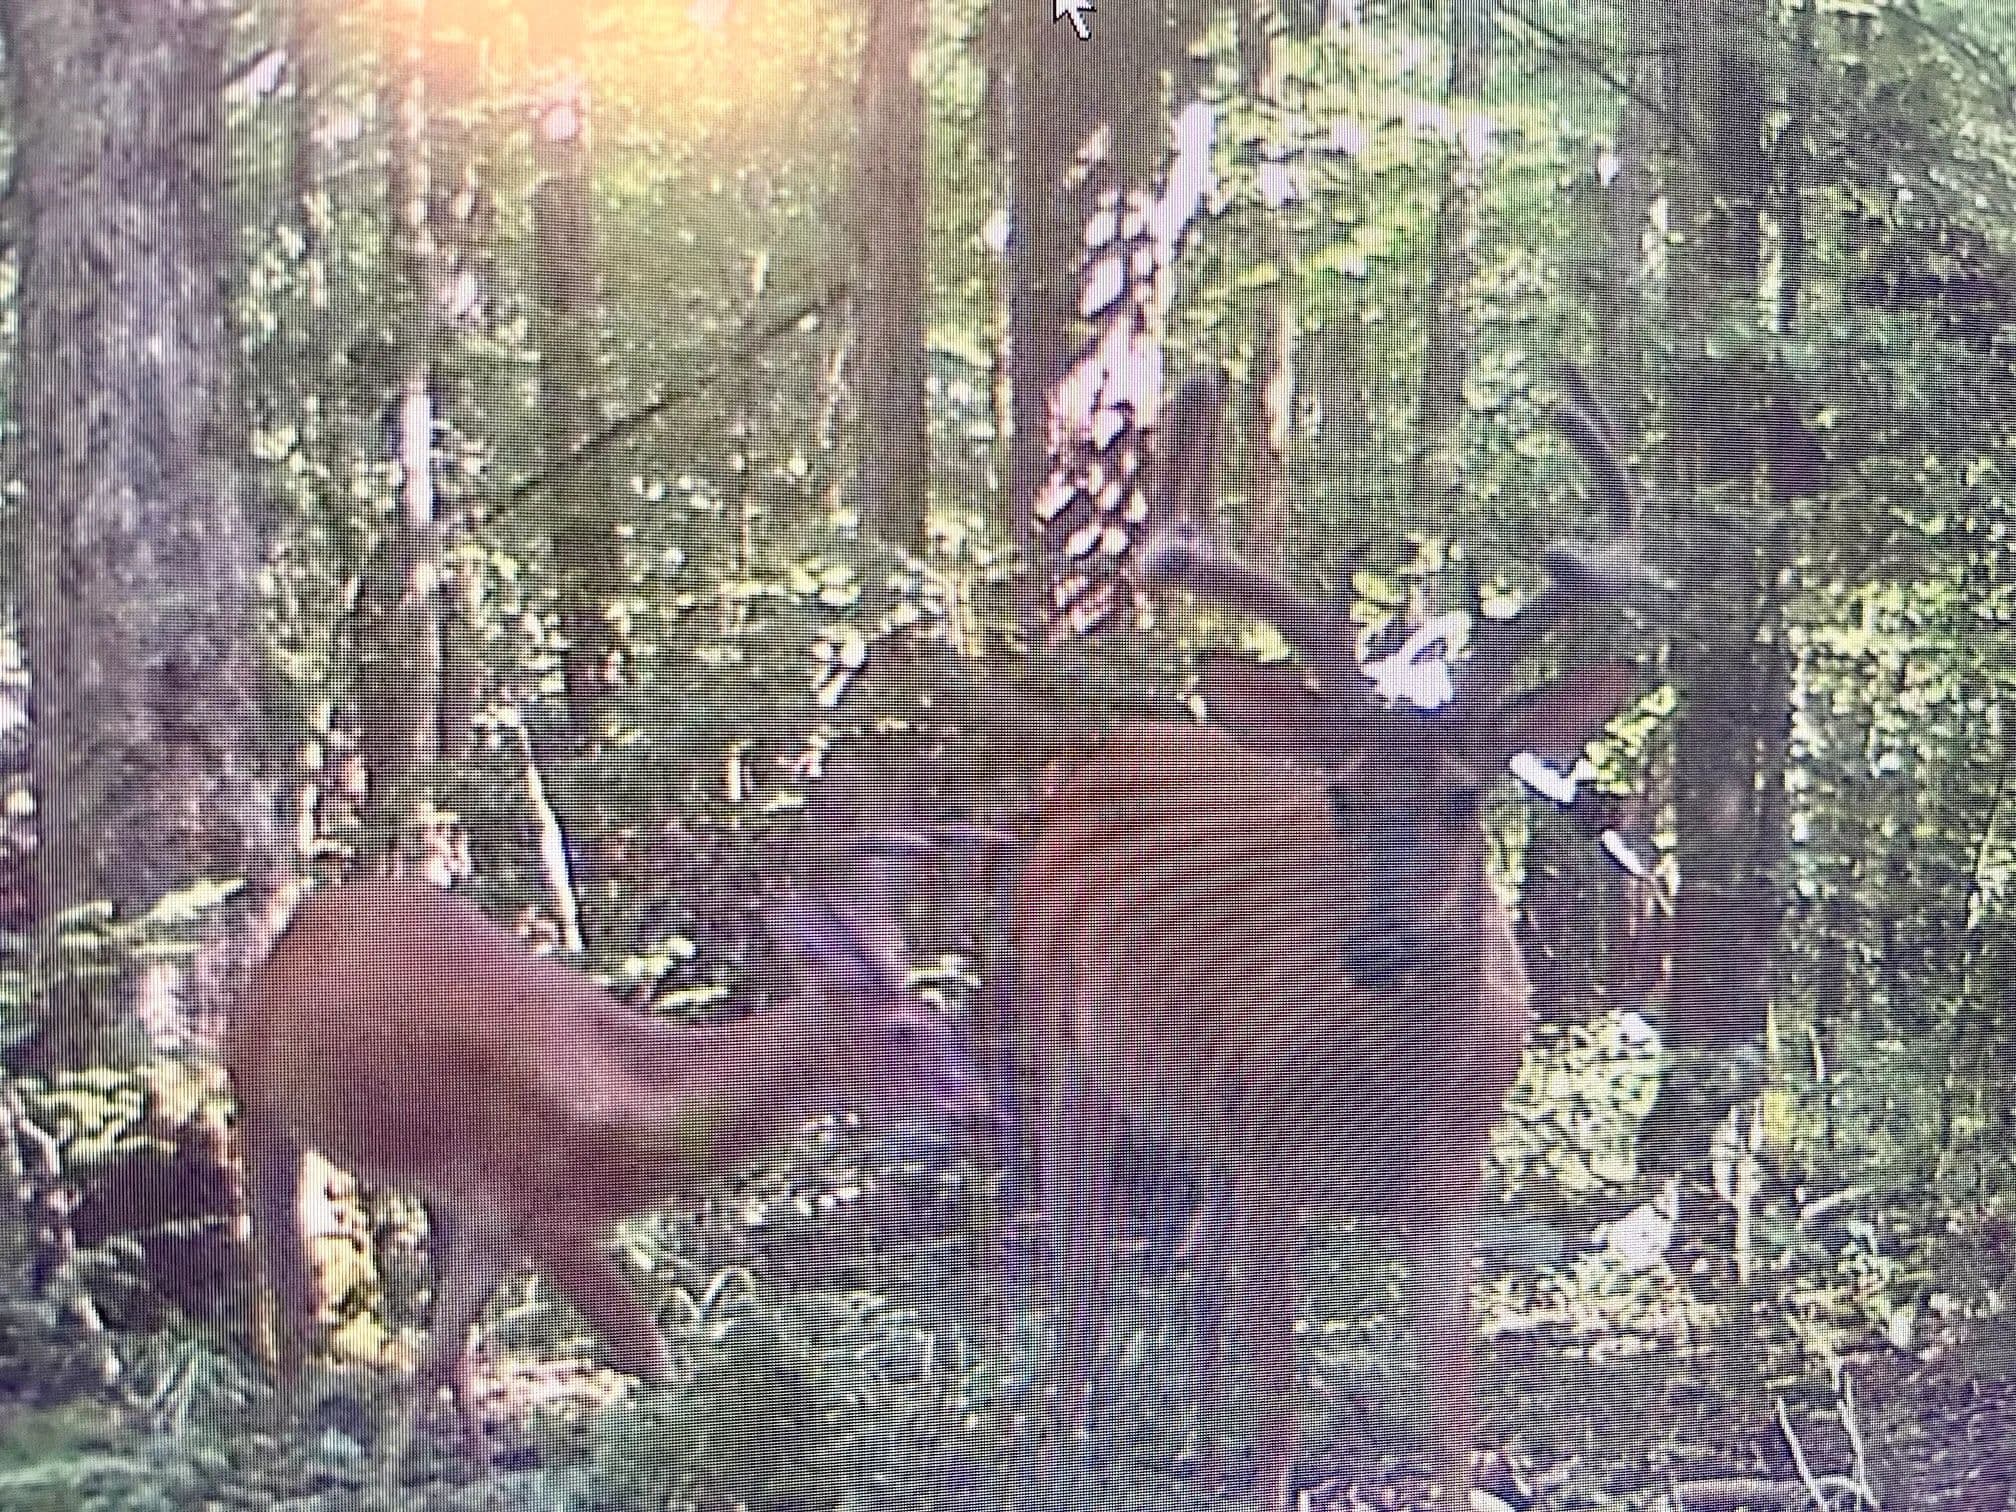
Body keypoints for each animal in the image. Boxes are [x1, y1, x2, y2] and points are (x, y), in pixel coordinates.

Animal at [228, 797, 978, 1475]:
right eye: (905, 1035)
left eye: (943, 1018)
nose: (982, 1104)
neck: (633, 1107)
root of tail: (299, 925)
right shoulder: (547, 1213)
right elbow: (651, 1356)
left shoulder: (498, 1214)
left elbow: (438, 1351)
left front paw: (409, 1471)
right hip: (259, 1095)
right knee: (285, 1271)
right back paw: (283, 1432)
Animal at [996, 367, 1654, 1509]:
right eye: (1342, 796)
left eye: (1464, 796)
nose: (1380, 946)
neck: (1398, 1078)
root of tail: (1107, 750)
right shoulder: (1272, 1154)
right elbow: (1284, 1404)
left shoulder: (1451, 1179)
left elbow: (1449, 1411)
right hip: (1062, 1044)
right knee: (1079, 1269)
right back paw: (1065, 1449)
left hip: (1202, 1109)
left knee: (1194, 1265)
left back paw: (1195, 1454)